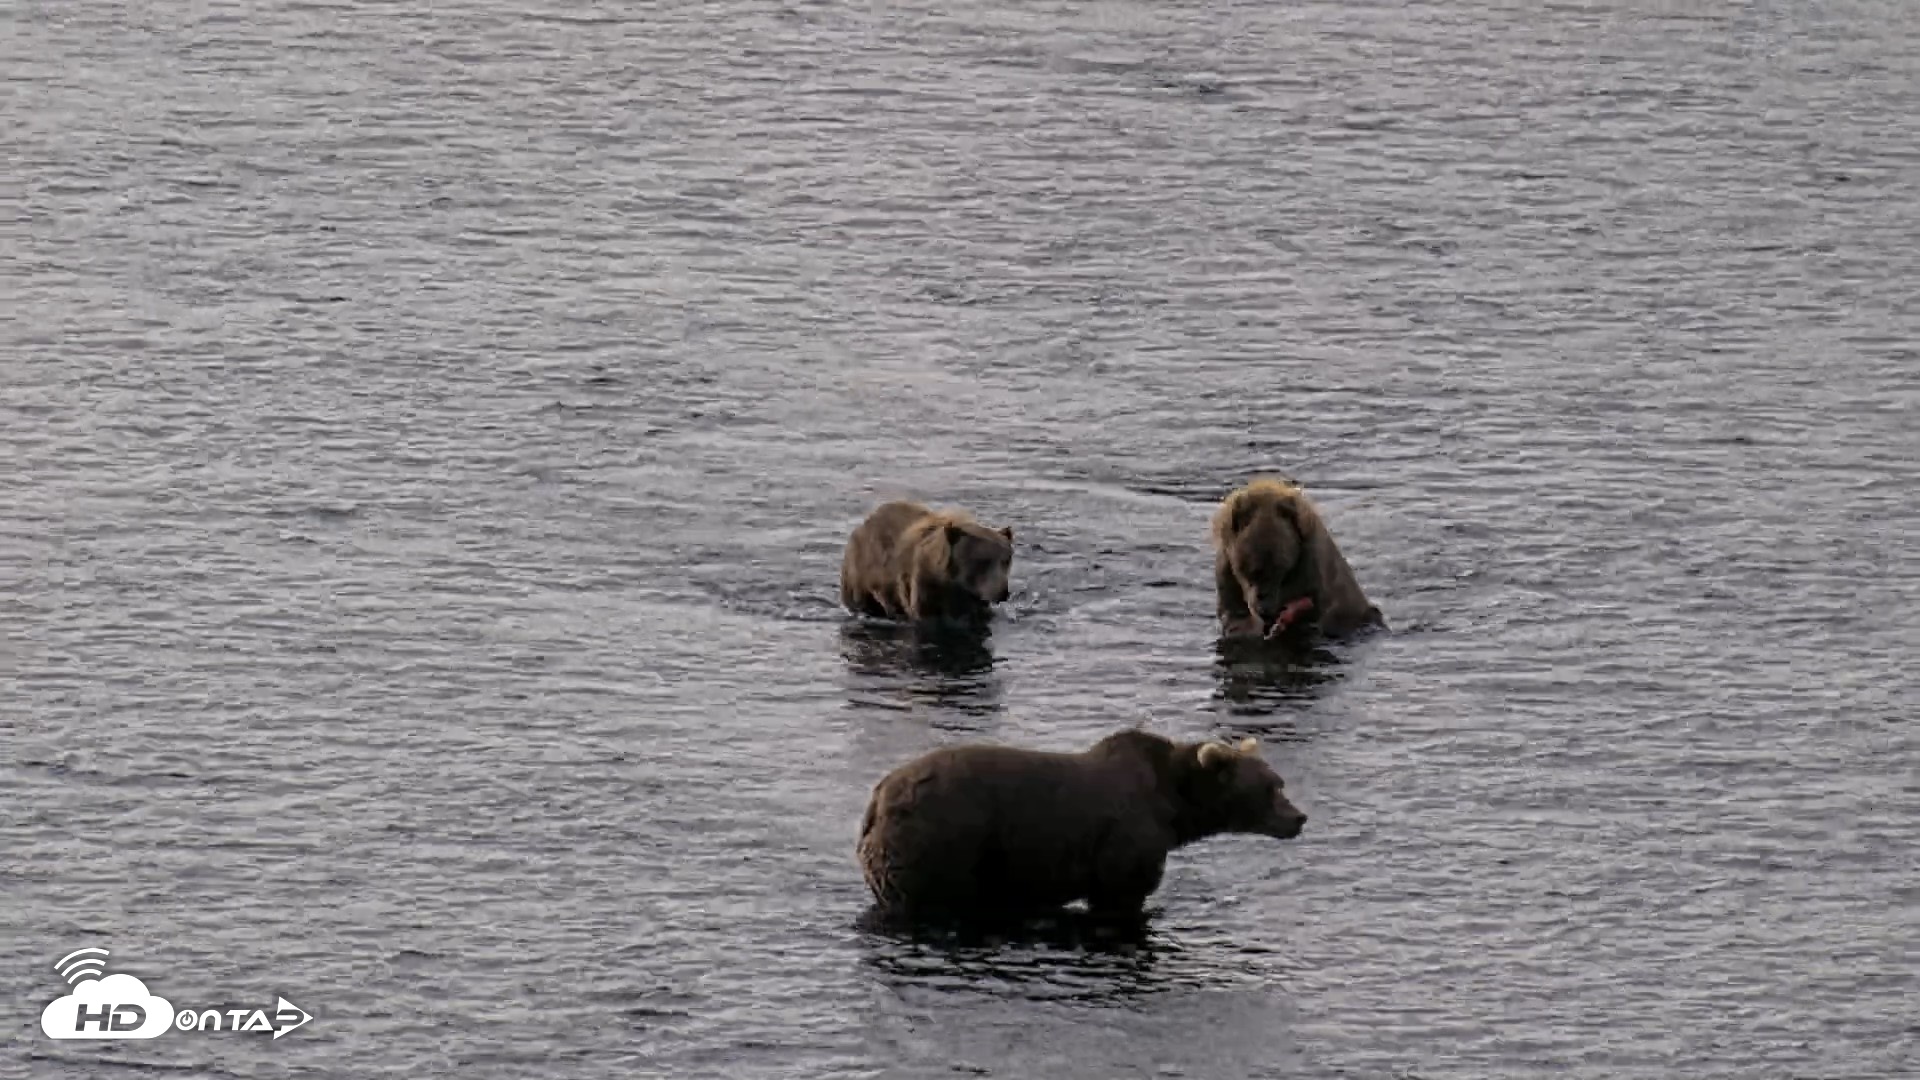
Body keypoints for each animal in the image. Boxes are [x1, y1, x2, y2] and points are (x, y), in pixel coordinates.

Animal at [856, 729, 1307, 922]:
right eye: (1271, 787)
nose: (1299, 818)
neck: (1173, 805)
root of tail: (878, 798)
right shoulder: (1124, 843)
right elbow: (1121, 894)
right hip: (939, 840)